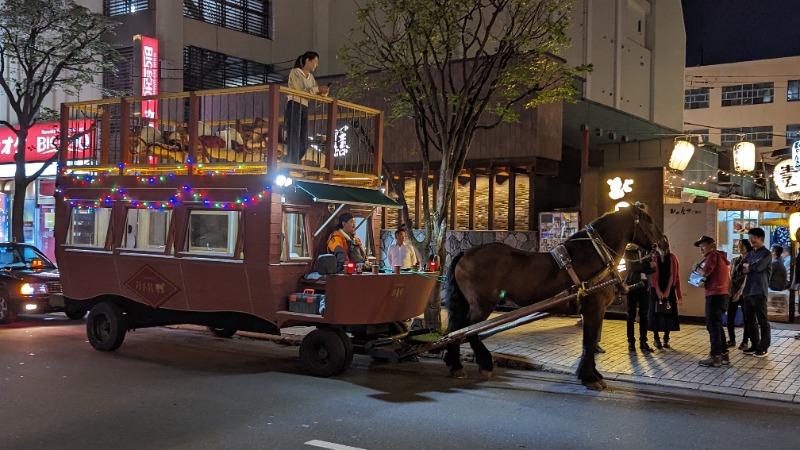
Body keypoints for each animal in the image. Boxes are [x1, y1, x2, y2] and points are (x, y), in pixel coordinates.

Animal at [444, 205, 664, 390]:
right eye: (649, 221)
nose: (664, 244)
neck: (598, 255)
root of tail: (465, 253)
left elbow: (589, 342)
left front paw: (592, 374)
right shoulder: (594, 308)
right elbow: (589, 341)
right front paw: (590, 377)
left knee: (456, 329)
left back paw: (455, 365)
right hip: (482, 305)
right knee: (468, 330)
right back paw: (485, 363)